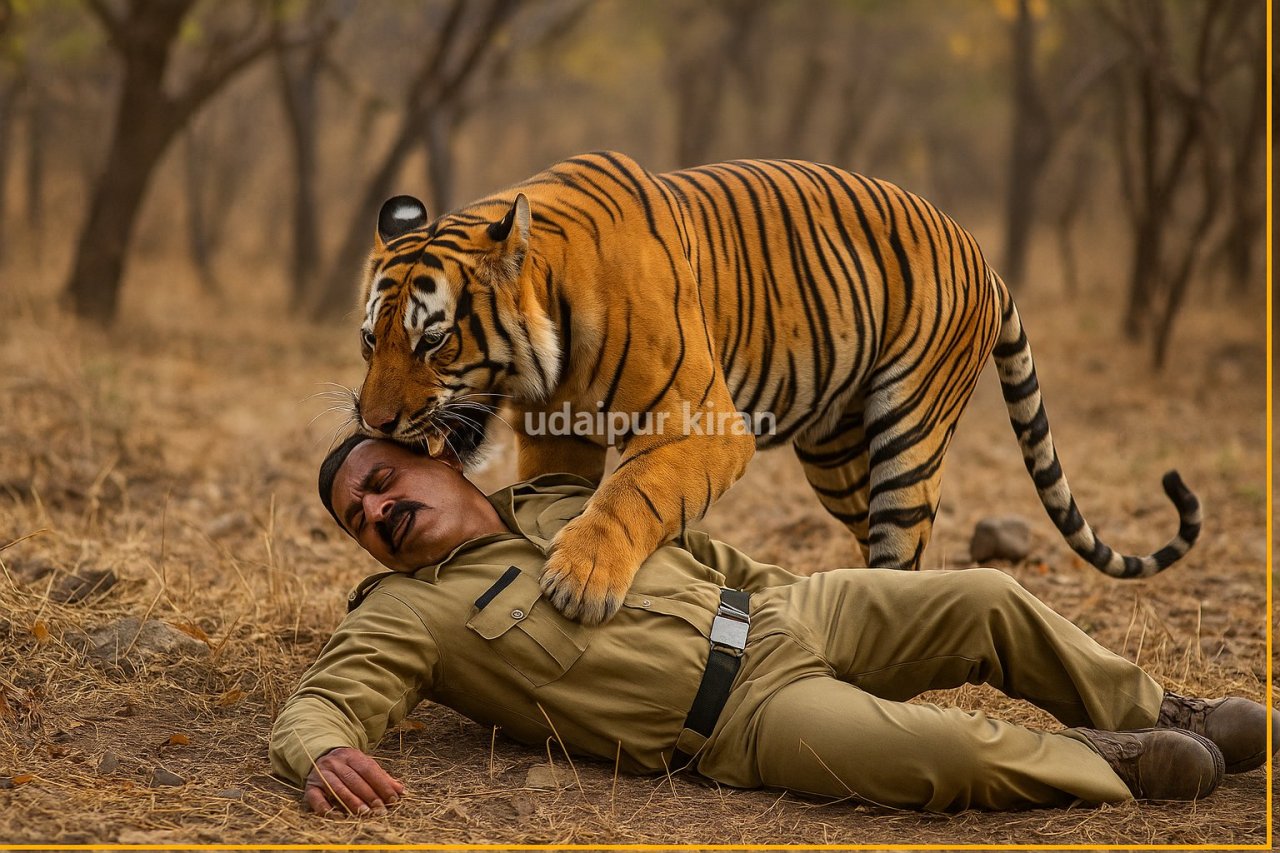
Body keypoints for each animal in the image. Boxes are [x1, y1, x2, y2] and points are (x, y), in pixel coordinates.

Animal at [352, 151, 1201, 625]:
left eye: (432, 338)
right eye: (370, 339)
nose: (376, 421)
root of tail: (983, 255)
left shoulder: (703, 422)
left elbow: (634, 492)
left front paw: (582, 579)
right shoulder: (558, 436)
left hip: (910, 430)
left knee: (903, 546)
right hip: (838, 457)